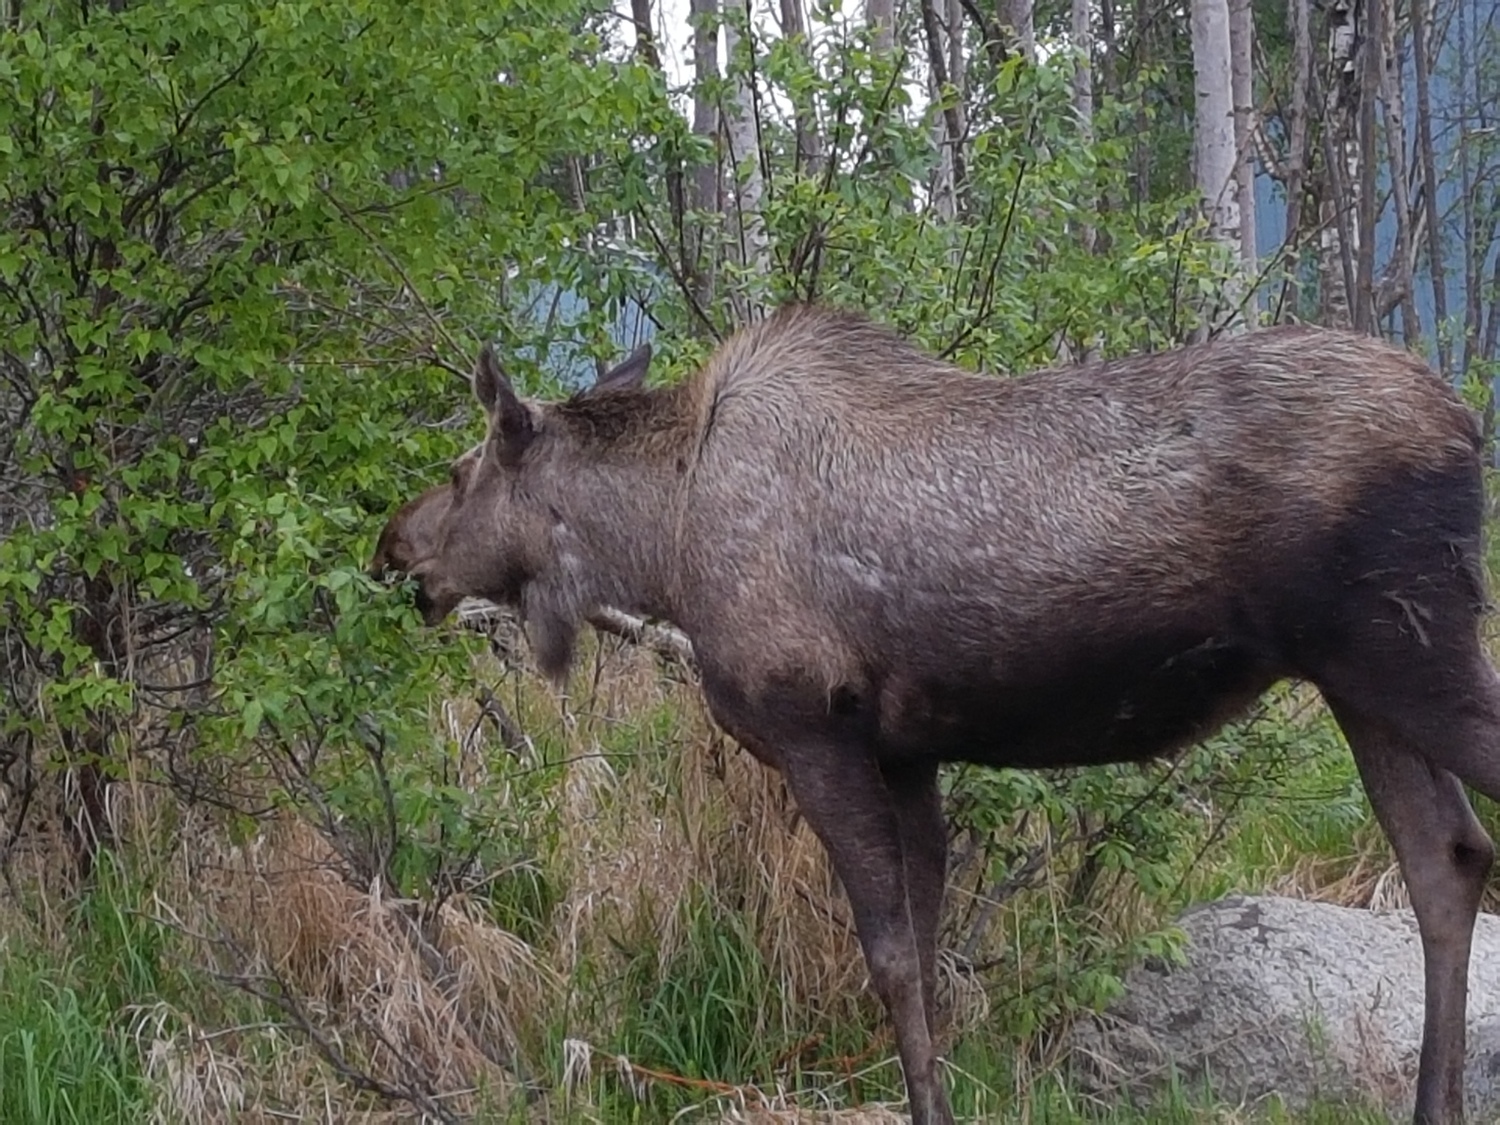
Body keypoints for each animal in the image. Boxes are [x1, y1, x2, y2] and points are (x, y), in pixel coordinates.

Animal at [372, 301, 1500, 1125]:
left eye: (462, 469)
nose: (391, 545)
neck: (663, 542)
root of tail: (1465, 426)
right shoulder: (906, 752)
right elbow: (927, 949)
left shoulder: (814, 729)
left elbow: (891, 957)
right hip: (1364, 681)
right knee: (1445, 858)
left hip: (1402, 649)